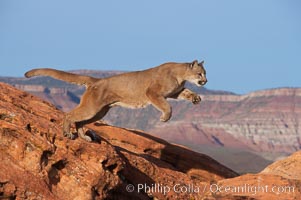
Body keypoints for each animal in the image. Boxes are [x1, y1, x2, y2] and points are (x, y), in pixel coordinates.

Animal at [25, 60, 206, 141]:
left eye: (205, 73)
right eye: (200, 73)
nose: (205, 81)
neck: (180, 75)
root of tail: (97, 80)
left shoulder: (176, 92)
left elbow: (187, 93)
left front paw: (196, 98)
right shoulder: (153, 93)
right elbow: (167, 106)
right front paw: (164, 118)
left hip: (99, 112)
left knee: (80, 121)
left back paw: (84, 137)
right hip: (92, 108)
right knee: (70, 115)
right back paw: (67, 133)